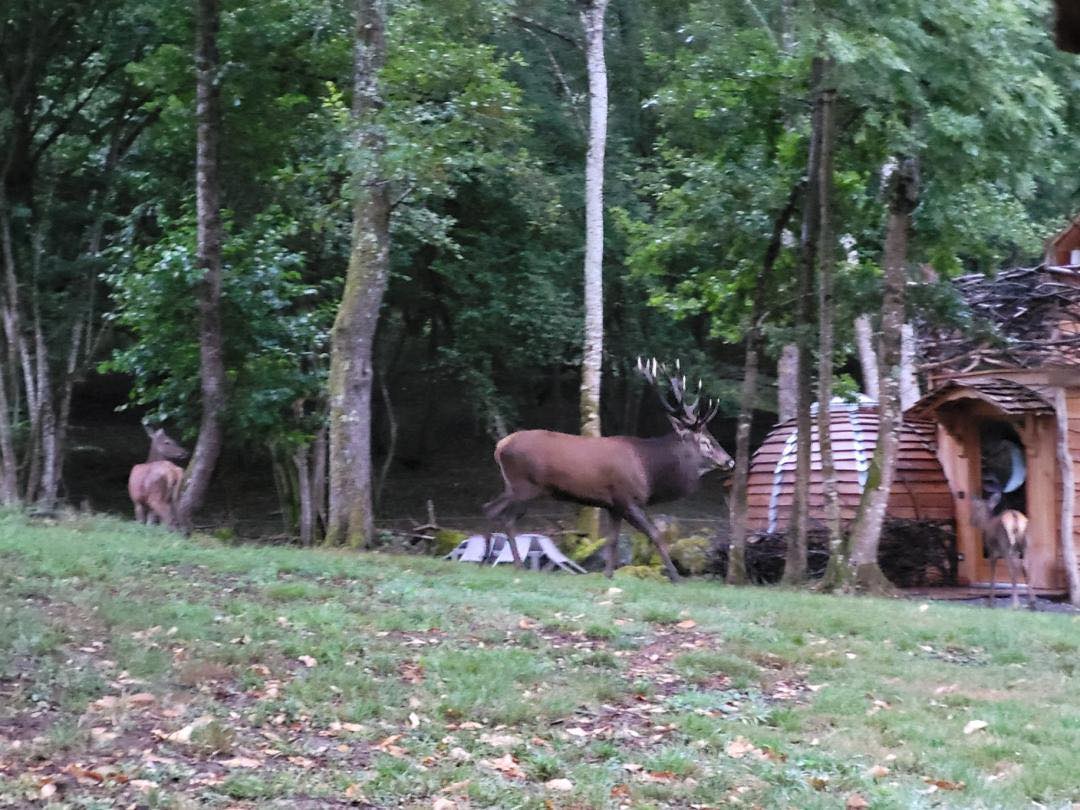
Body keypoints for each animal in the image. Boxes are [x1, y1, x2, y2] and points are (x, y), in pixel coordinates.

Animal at [483, 358, 734, 583]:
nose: (729, 460)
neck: (649, 470)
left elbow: (612, 539)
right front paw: (675, 577)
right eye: (705, 442)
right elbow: (655, 535)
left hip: (515, 485)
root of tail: (500, 446)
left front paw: (608, 574)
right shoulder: (628, 498)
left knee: (489, 508)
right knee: (504, 517)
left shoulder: (614, 505)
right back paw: (511, 564)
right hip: (525, 486)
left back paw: (485, 557)